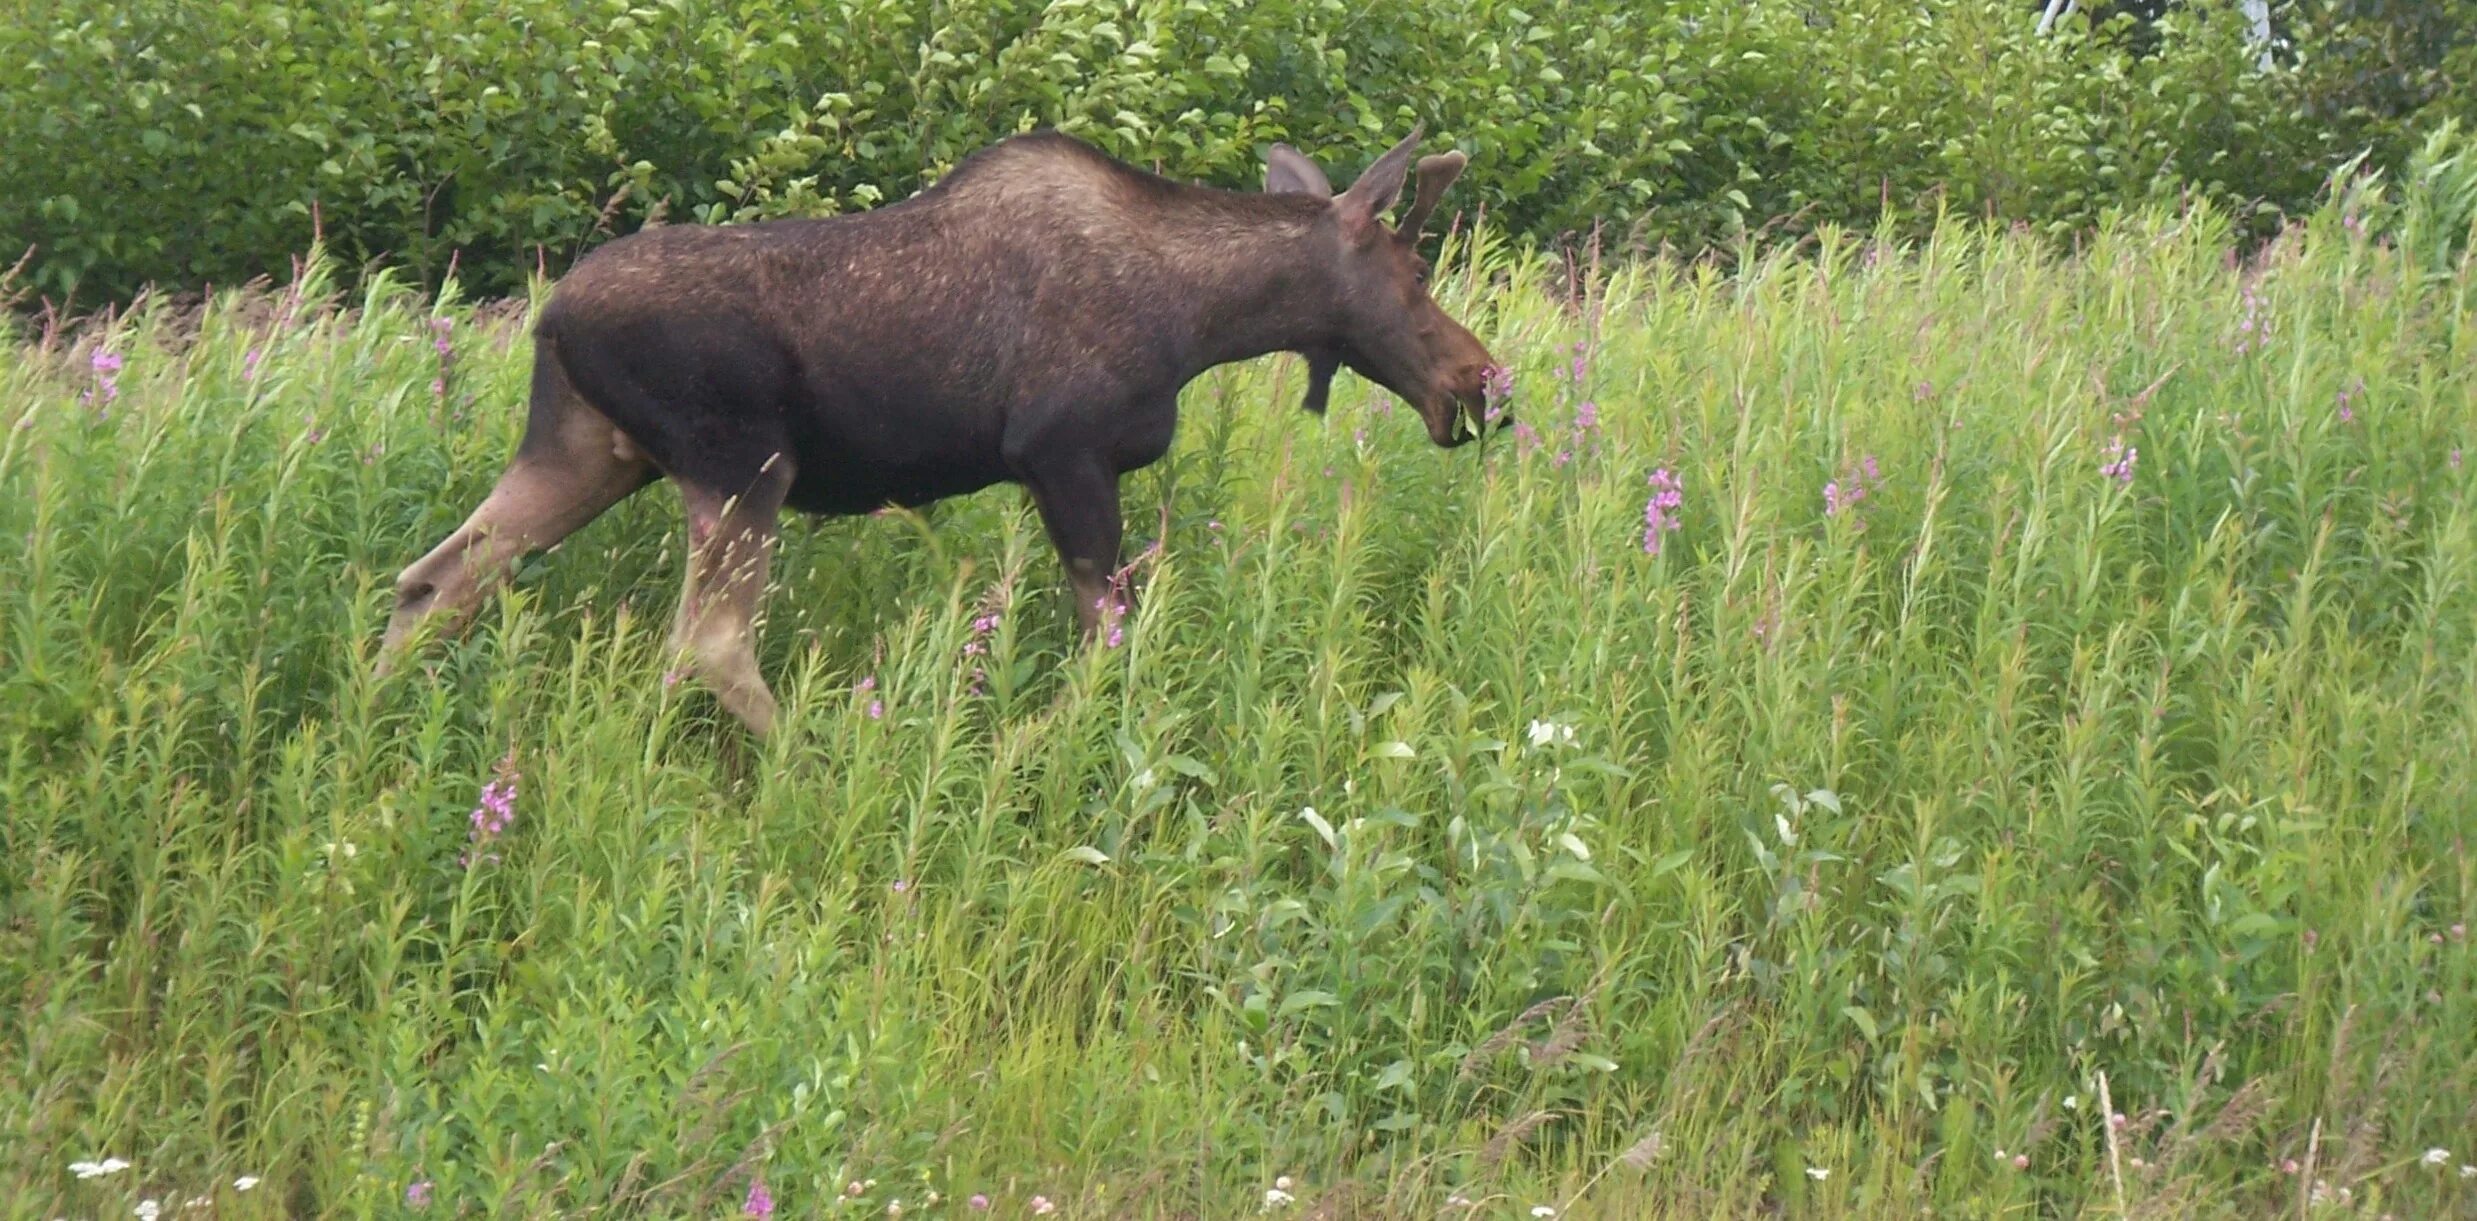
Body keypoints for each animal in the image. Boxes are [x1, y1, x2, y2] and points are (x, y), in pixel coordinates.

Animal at [369, 126, 1486, 733]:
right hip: (741, 463)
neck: (1201, 318)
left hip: (586, 453)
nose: (1476, 380)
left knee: (432, 577)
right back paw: (821, 766)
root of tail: (551, 319)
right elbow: (1109, 642)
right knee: (711, 641)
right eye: (1412, 270)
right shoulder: (1062, 452)